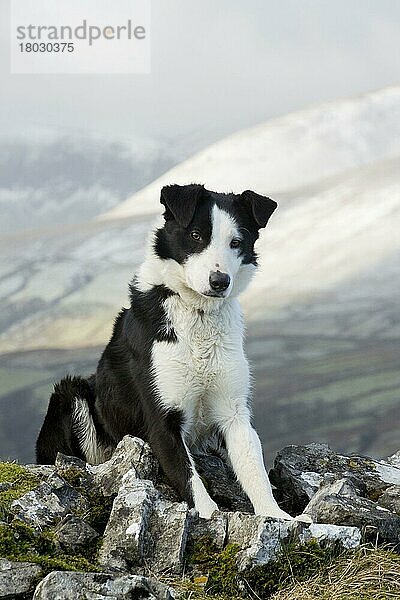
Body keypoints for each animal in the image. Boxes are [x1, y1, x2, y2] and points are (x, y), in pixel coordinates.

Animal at [36, 183, 296, 520]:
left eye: (236, 242)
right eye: (196, 235)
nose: (219, 281)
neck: (197, 314)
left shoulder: (233, 411)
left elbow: (253, 469)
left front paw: (276, 516)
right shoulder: (162, 417)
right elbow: (189, 478)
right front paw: (209, 515)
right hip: (72, 394)